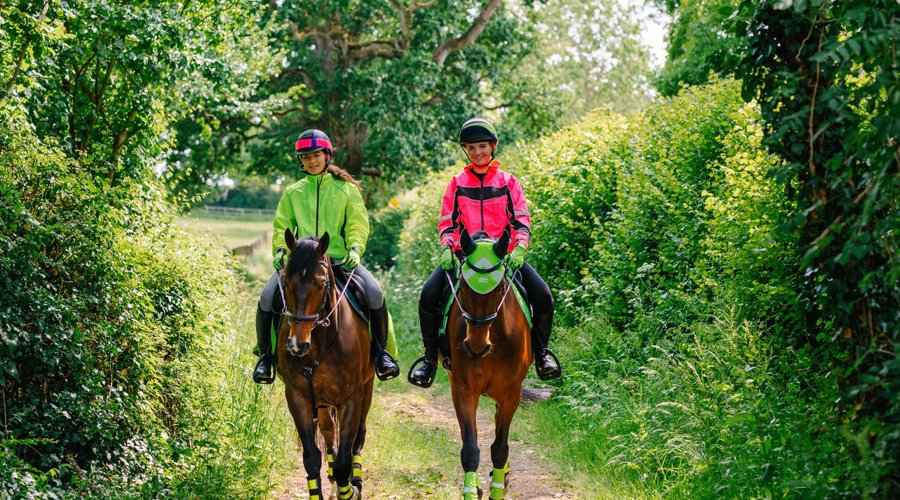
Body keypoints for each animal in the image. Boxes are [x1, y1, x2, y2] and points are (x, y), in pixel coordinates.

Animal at [277, 229, 374, 500]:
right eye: (285, 282)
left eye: (321, 284)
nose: (297, 345)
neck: (320, 344)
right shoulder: (298, 397)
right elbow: (311, 458)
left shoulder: (352, 398)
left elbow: (344, 460)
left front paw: (349, 490)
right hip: (320, 402)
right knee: (330, 434)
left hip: (367, 389)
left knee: (358, 439)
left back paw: (355, 481)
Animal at [445, 229, 532, 500]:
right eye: (463, 286)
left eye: (500, 287)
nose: (476, 346)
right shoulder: (463, 389)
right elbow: (470, 448)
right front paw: (472, 490)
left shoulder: (511, 392)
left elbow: (500, 447)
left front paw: (498, 488)